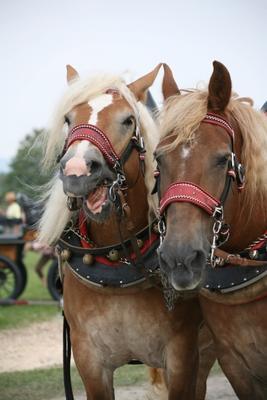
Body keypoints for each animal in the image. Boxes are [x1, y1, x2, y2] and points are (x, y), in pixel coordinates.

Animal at [37, 64, 215, 398]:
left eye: (127, 120)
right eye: (69, 118)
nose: (77, 171)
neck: (117, 257)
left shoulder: (183, 356)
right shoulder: (90, 360)